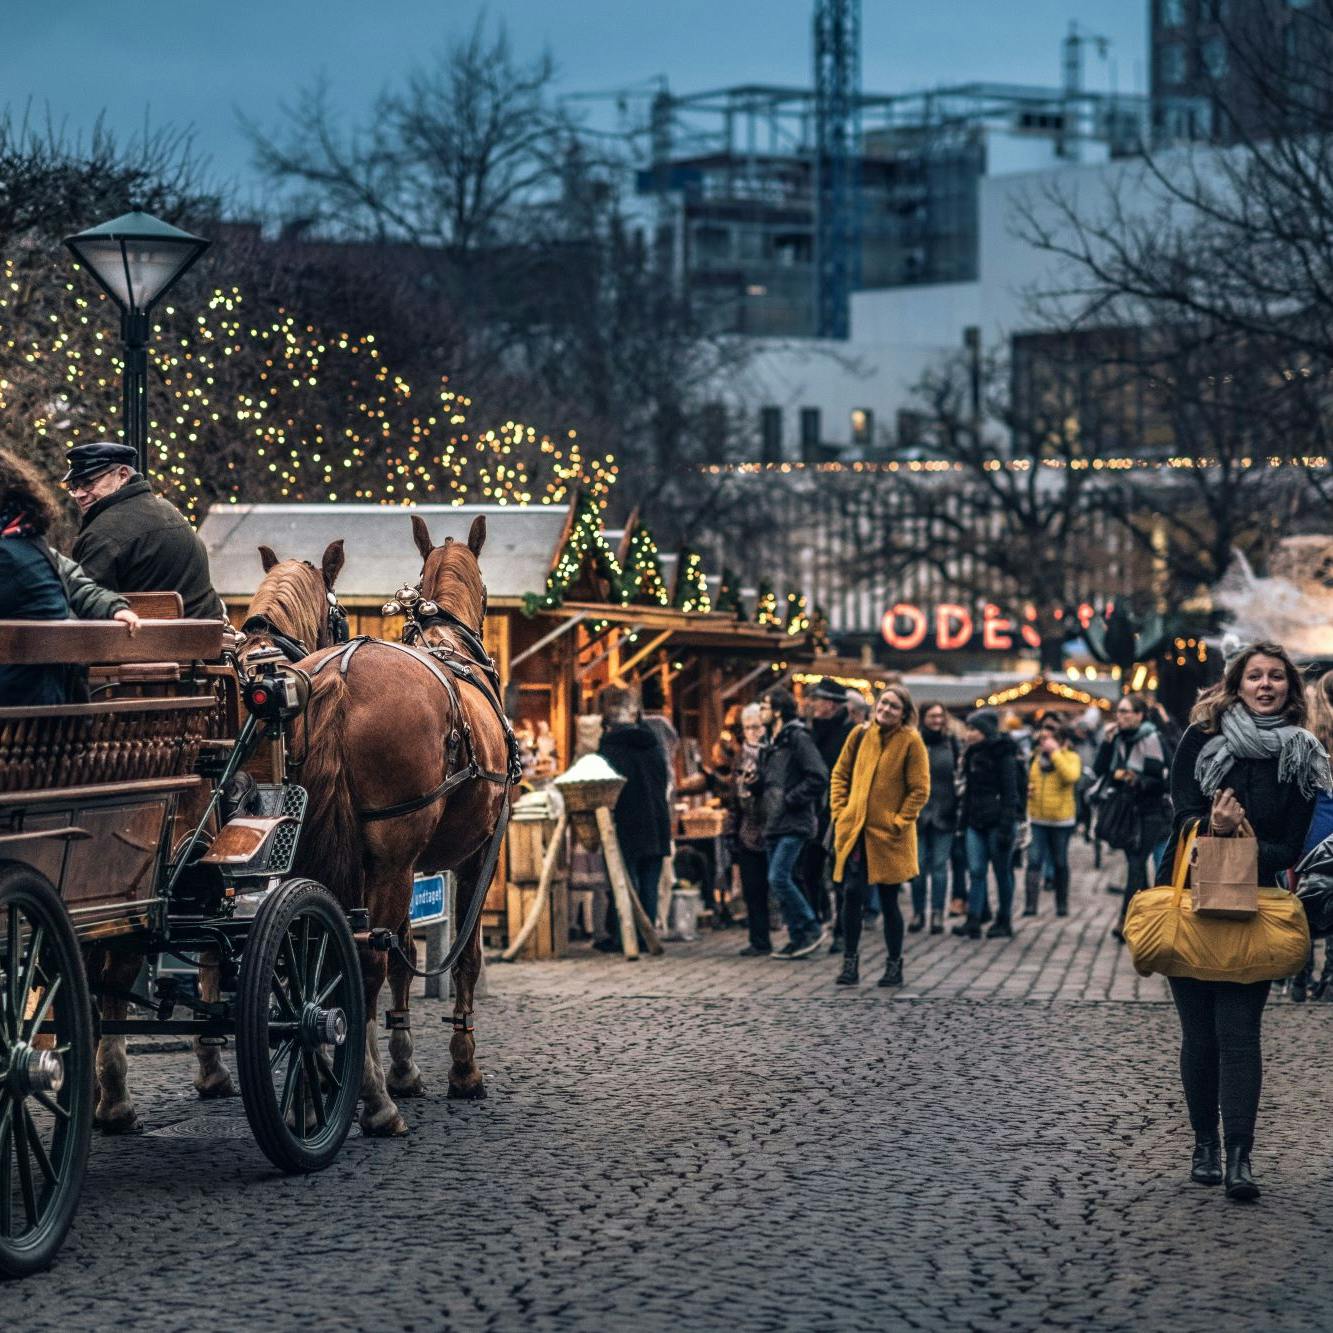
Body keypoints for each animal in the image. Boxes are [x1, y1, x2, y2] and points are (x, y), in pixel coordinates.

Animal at [298, 509, 509, 1135]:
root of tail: (340, 674)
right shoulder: (477, 856)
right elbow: (464, 958)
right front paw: (462, 1070)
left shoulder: (416, 866)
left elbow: (404, 958)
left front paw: (405, 1067)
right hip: (391, 859)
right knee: (364, 958)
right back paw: (373, 1103)